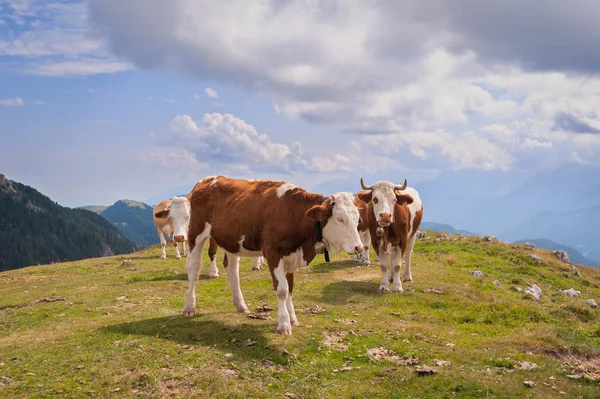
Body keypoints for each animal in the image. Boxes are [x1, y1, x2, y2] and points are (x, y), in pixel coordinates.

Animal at [180, 177, 364, 336]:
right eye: (340, 219)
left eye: (357, 219)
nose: (359, 247)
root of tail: (207, 180)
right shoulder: (273, 253)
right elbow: (282, 290)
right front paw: (284, 324)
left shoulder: (291, 256)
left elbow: (290, 288)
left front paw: (293, 318)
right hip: (196, 234)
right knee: (194, 269)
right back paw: (189, 307)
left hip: (232, 241)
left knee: (232, 269)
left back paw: (241, 305)